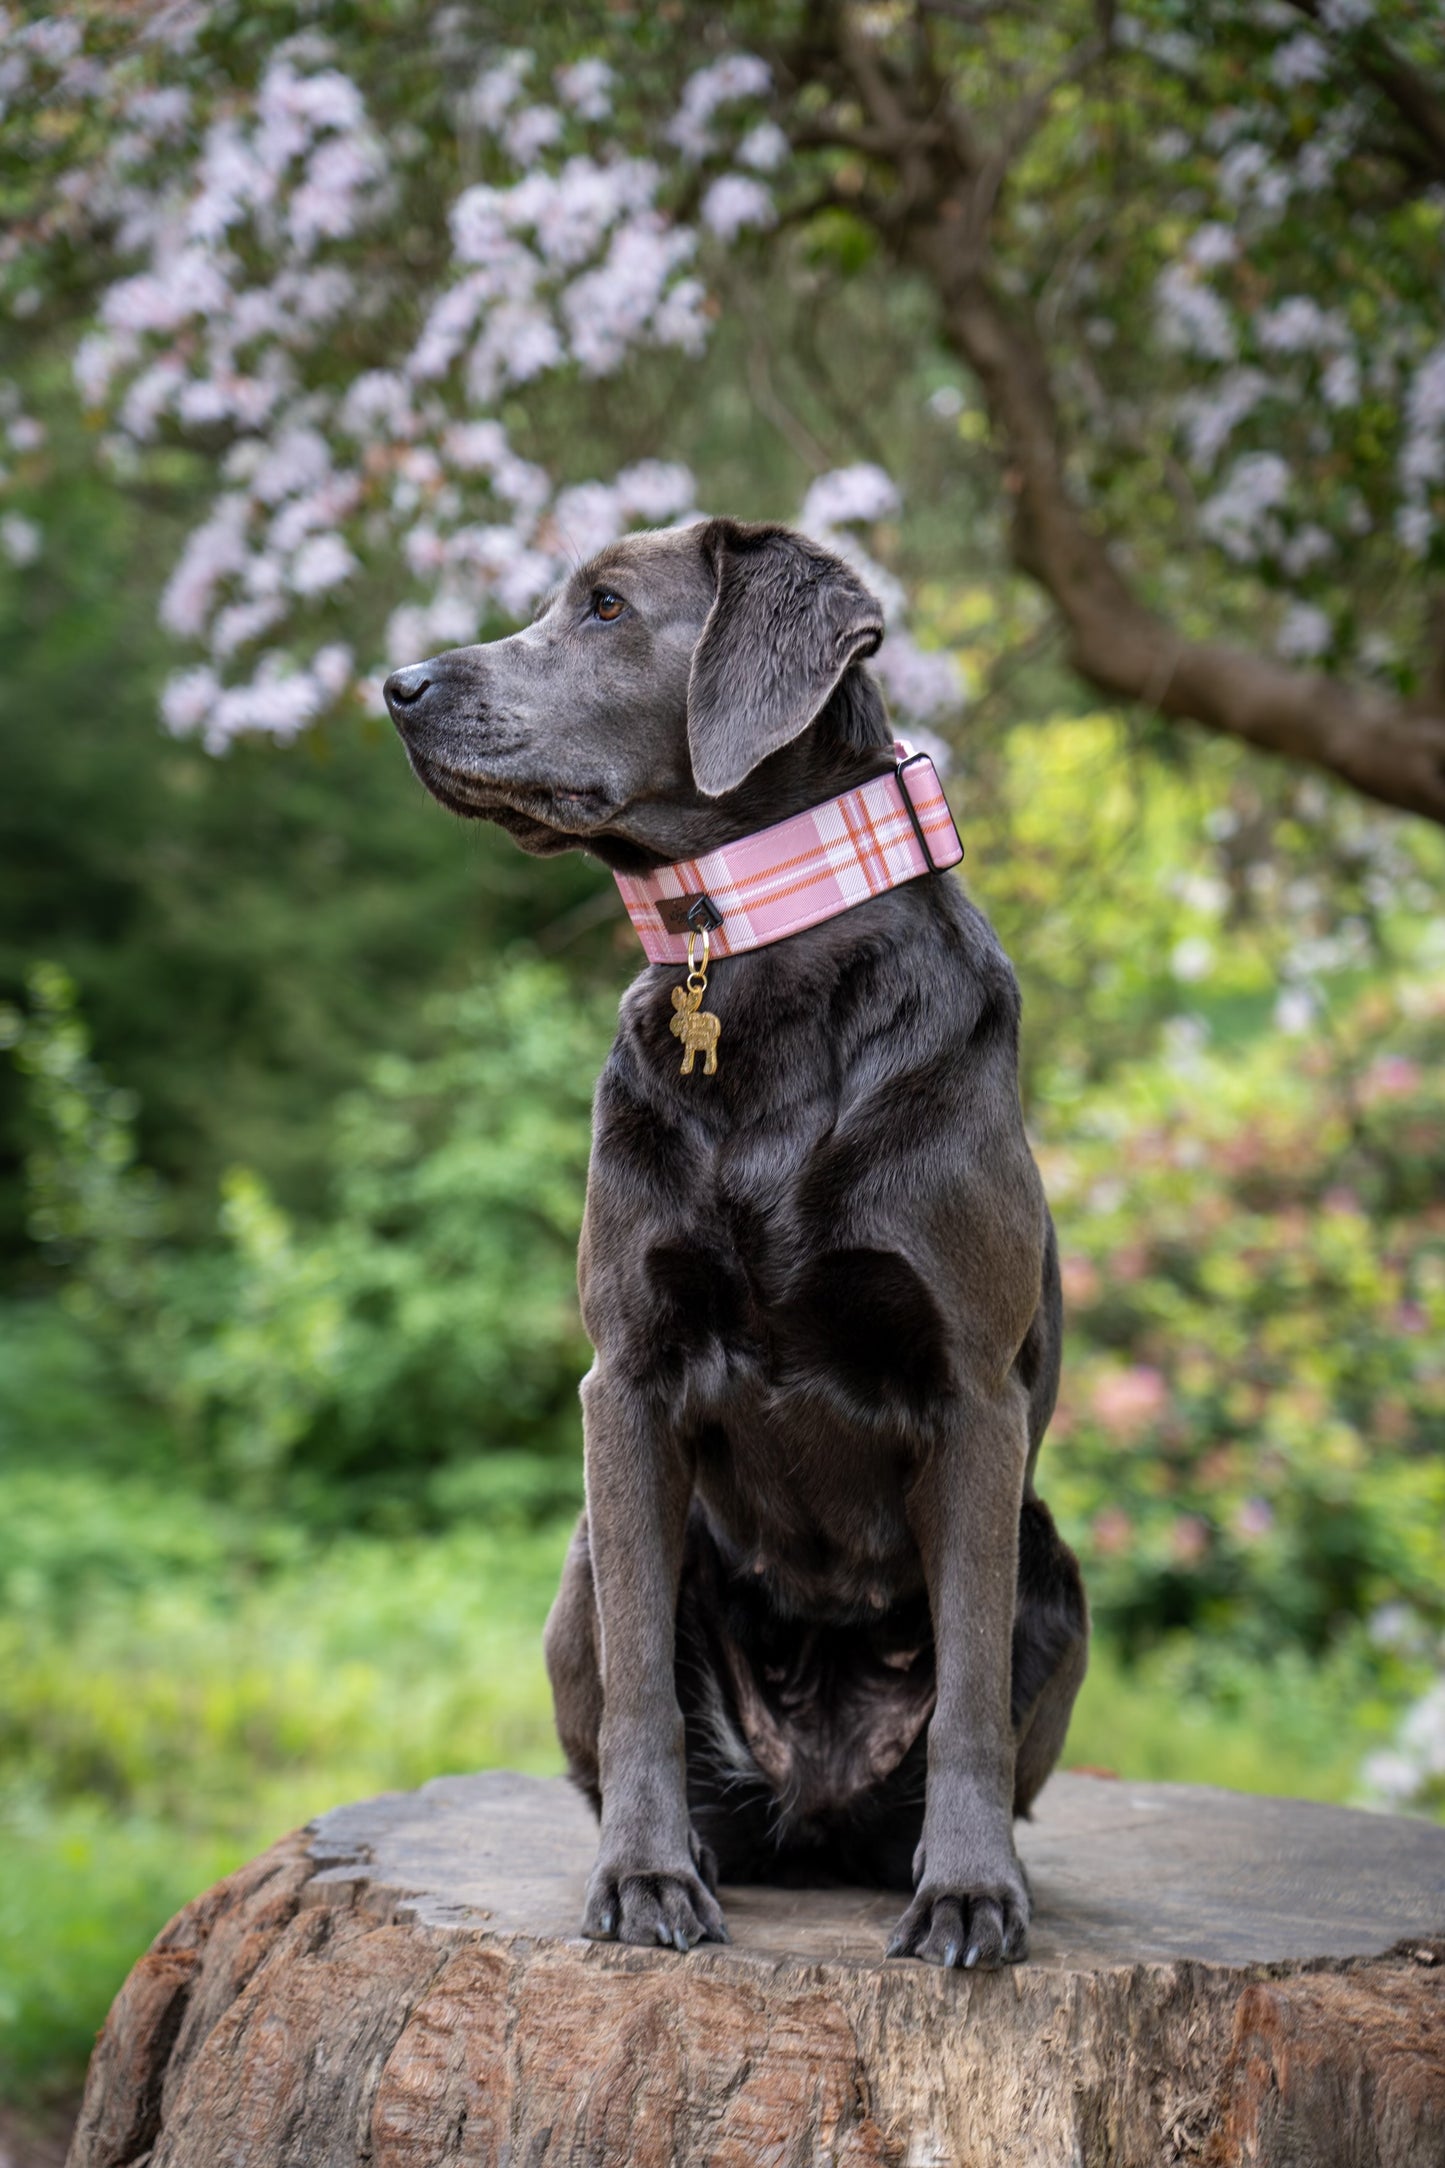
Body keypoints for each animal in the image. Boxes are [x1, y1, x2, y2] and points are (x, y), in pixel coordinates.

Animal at [383, 520, 1083, 1968]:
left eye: (605, 608)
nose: (397, 686)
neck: (744, 948)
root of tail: (806, 1810)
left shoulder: (974, 1394)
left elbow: (969, 1692)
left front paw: (969, 1894)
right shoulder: (626, 1374)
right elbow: (643, 1683)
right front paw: (645, 1876)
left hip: (1058, 1565)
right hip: (578, 1565)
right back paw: (697, 1843)